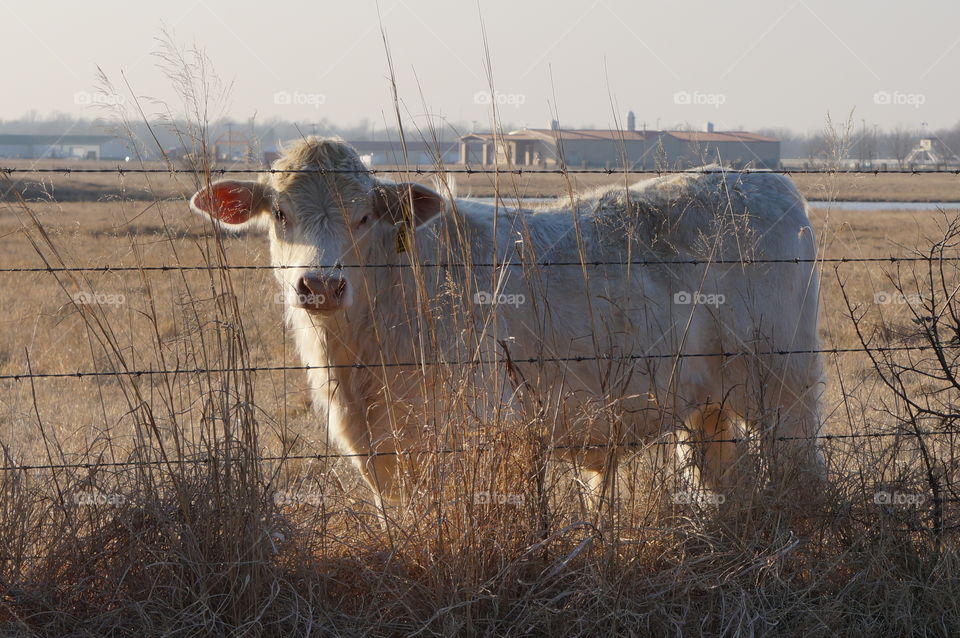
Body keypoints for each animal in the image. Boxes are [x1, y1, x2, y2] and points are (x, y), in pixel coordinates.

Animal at [189, 138, 824, 508]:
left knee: (798, 471)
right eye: (280, 213)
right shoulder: (381, 454)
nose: (320, 284)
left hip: (784, 389)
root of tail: (762, 178)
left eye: (364, 216)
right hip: (708, 408)